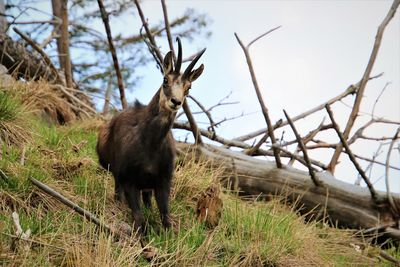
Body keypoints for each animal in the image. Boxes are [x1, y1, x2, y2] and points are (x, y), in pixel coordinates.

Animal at [95, 38, 205, 234]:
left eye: (189, 87)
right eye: (165, 79)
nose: (176, 102)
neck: (150, 145)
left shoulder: (163, 181)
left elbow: (166, 218)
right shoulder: (129, 180)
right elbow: (139, 219)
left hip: (146, 186)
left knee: (146, 201)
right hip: (119, 175)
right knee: (118, 193)